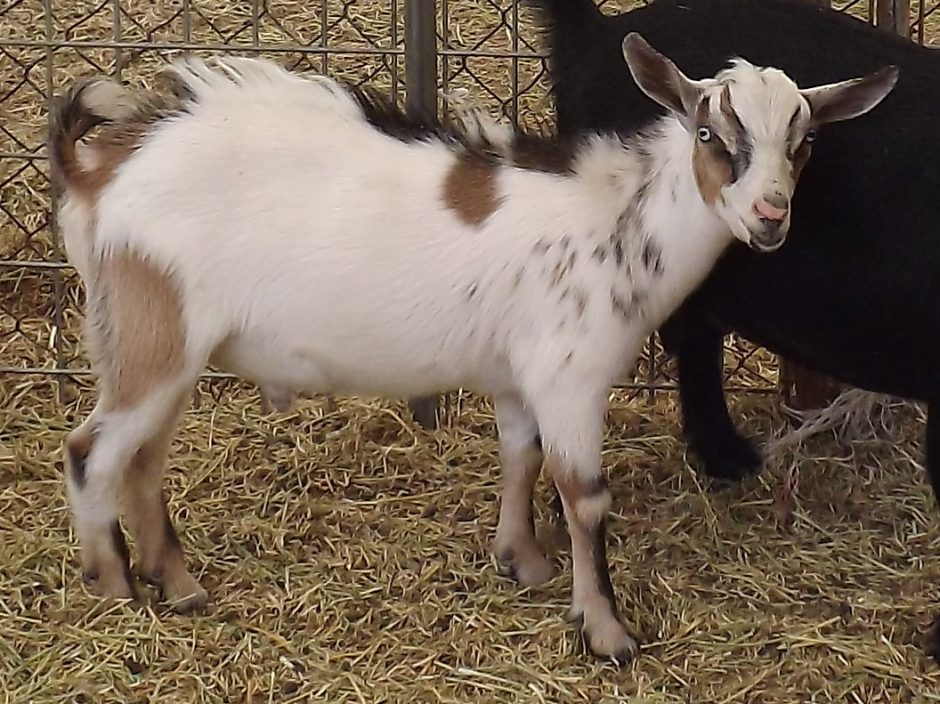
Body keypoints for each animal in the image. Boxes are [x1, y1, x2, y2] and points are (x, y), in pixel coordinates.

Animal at [48, 38, 894, 662]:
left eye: (805, 142)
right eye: (711, 134)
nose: (770, 214)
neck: (614, 222)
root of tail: (98, 172)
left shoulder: (520, 375)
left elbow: (520, 455)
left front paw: (521, 561)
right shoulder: (571, 375)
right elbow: (584, 495)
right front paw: (607, 632)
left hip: (167, 350)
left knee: (143, 458)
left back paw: (179, 583)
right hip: (152, 332)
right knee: (92, 450)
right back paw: (112, 588)